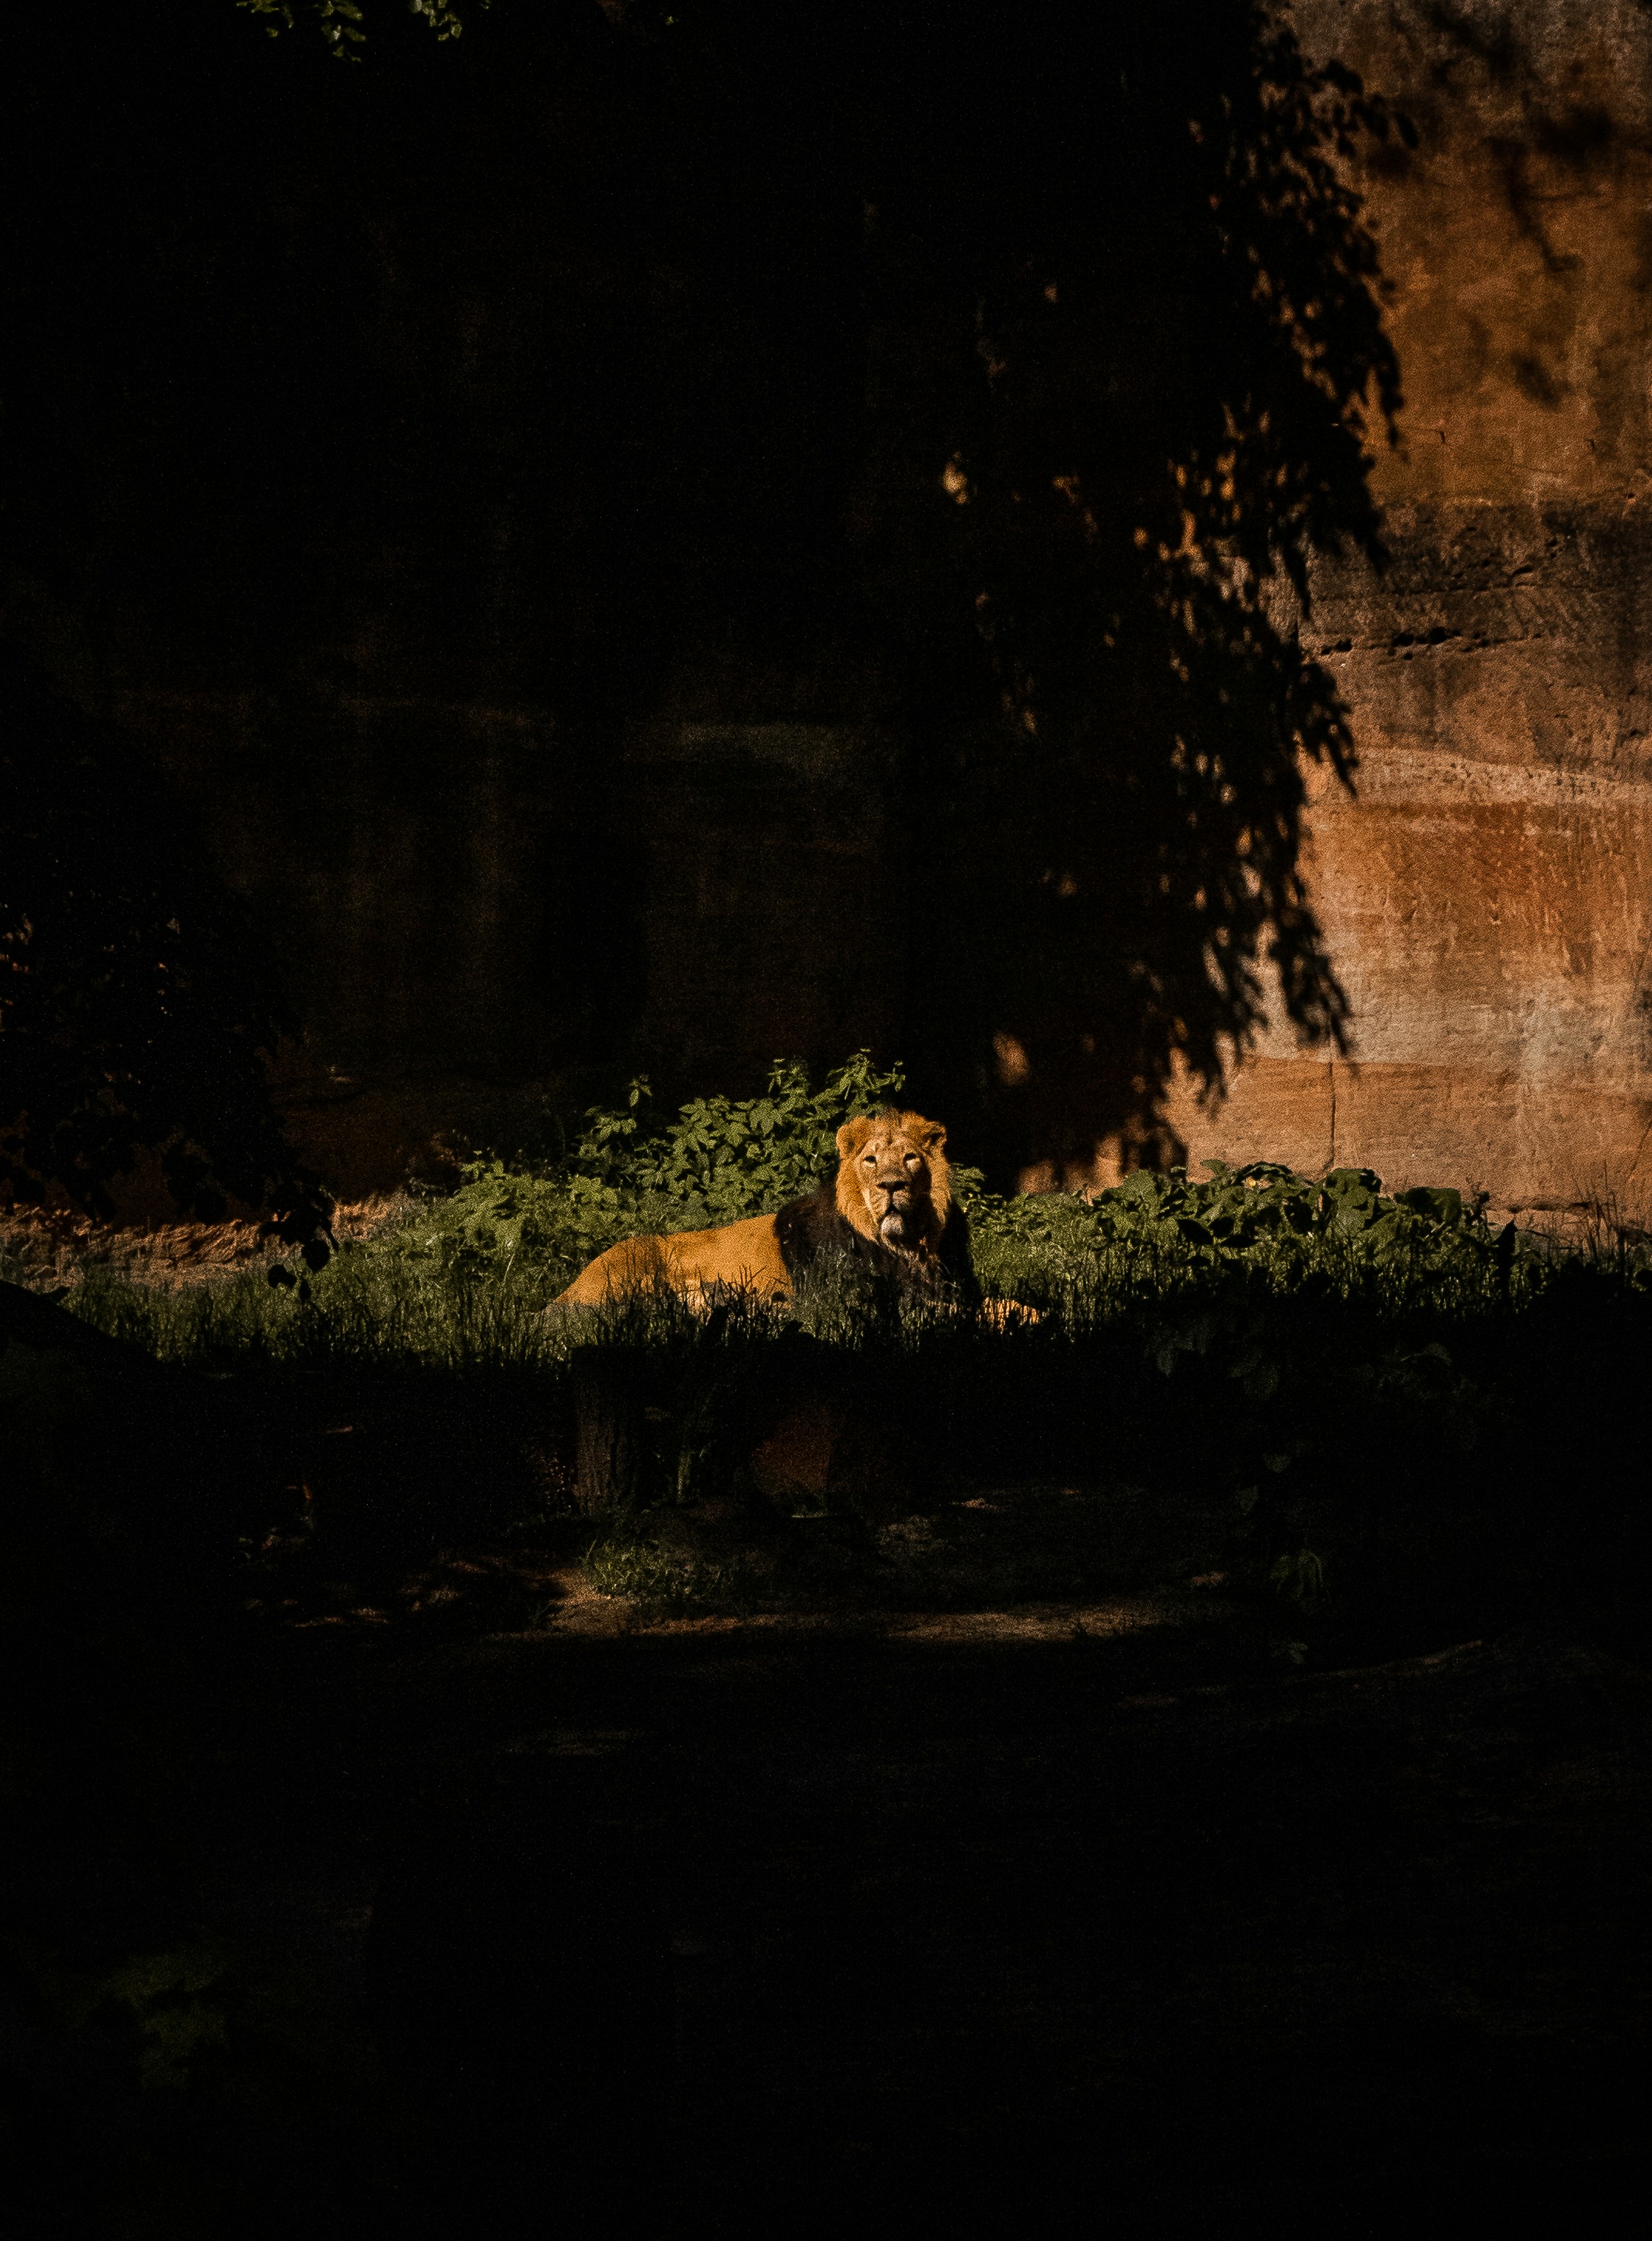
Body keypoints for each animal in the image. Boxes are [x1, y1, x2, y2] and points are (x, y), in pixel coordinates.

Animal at [551, 1106, 980, 1312]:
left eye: (910, 1158)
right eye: (871, 1161)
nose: (891, 1185)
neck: (907, 1245)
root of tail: (562, 1295)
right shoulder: (859, 1296)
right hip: (631, 1260)